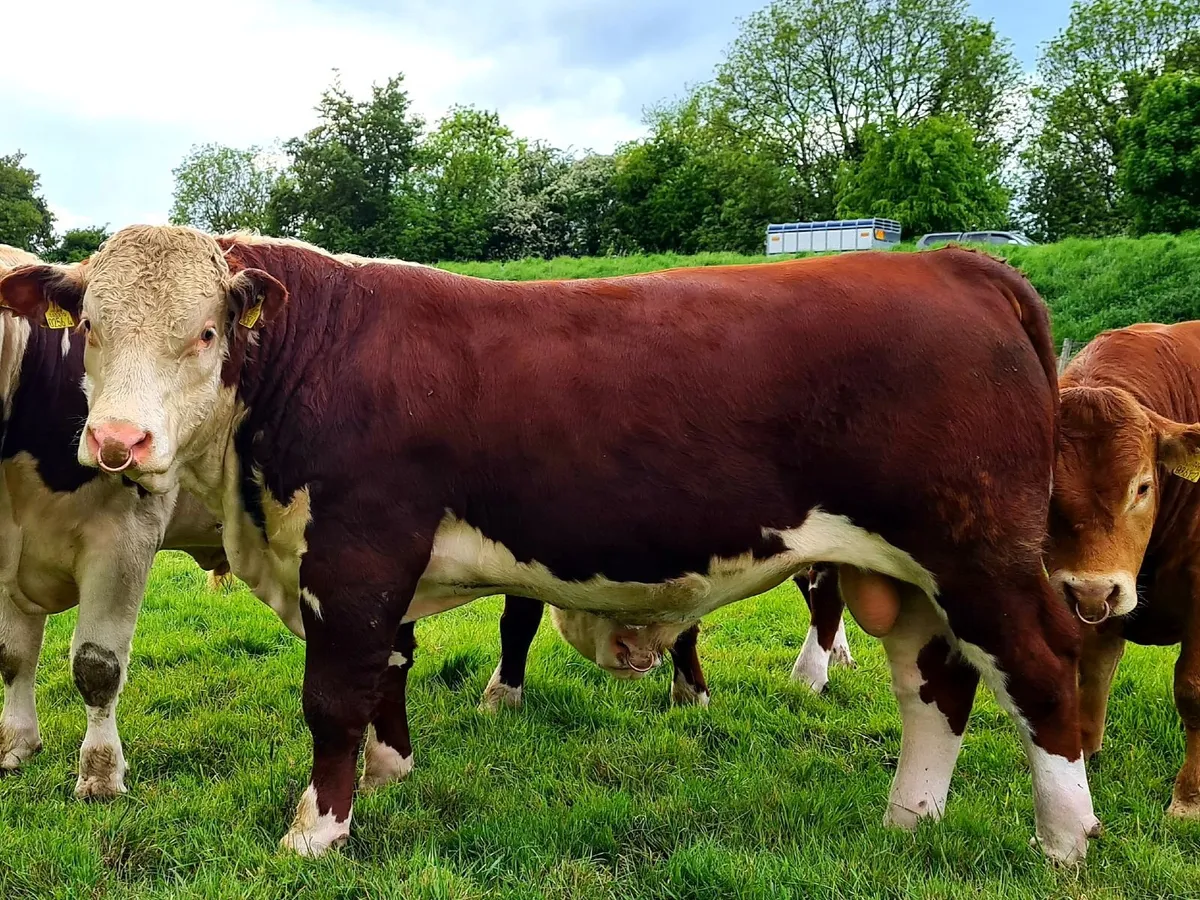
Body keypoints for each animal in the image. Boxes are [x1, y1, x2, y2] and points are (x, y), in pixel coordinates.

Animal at [0, 226, 1097, 862]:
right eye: (89, 329)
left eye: (203, 332)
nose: (118, 441)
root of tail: (958, 264)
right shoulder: (371, 574)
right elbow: (386, 675)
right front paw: (391, 775)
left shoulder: (354, 558)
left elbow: (333, 697)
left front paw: (317, 829)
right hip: (903, 572)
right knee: (935, 683)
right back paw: (909, 818)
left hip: (978, 555)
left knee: (1040, 672)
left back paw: (1066, 841)